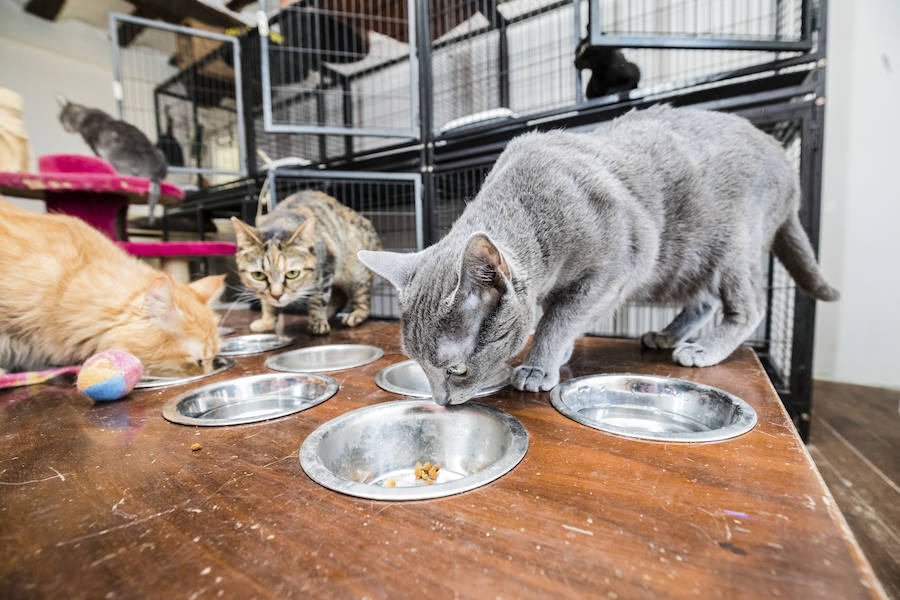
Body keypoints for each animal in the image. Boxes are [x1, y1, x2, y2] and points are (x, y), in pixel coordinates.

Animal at [56, 95, 169, 224]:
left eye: (61, 119)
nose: (64, 127)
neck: (85, 114)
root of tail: (157, 171)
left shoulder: (94, 145)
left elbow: (98, 157)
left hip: (114, 157)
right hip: (161, 153)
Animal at [230, 191, 382, 336]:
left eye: (292, 274)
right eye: (258, 275)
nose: (277, 295)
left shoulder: (326, 267)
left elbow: (318, 298)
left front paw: (317, 322)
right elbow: (267, 302)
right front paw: (267, 321)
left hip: (357, 272)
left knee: (363, 300)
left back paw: (354, 315)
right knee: (341, 297)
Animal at [358, 105, 836, 406]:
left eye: (455, 370)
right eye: (419, 365)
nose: (439, 402)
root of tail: (782, 155)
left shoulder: (618, 268)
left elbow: (560, 317)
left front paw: (539, 365)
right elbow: (559, 317)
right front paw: (559, 354)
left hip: (731, 242)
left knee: (747, 305)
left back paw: (703, 348)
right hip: (687, 262)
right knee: (702, 300)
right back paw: (667, 335)